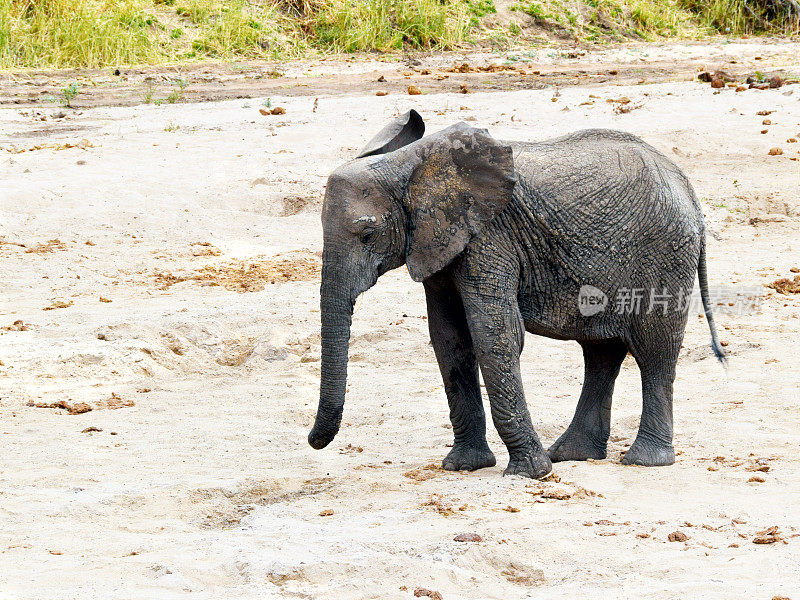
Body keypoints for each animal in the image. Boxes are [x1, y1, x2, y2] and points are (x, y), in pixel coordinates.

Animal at [308, 111, 724, 478]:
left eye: (367, 234)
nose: (314, 441)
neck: (406, 166)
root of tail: (688, 189)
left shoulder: (488, 236)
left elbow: (495, 334)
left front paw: (530, 473)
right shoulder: (439, 242)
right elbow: (449, 339)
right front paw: (464, 467)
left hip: (665, 253)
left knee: (655, 350)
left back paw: (644, 461)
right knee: (600, 352)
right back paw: (573, 454)